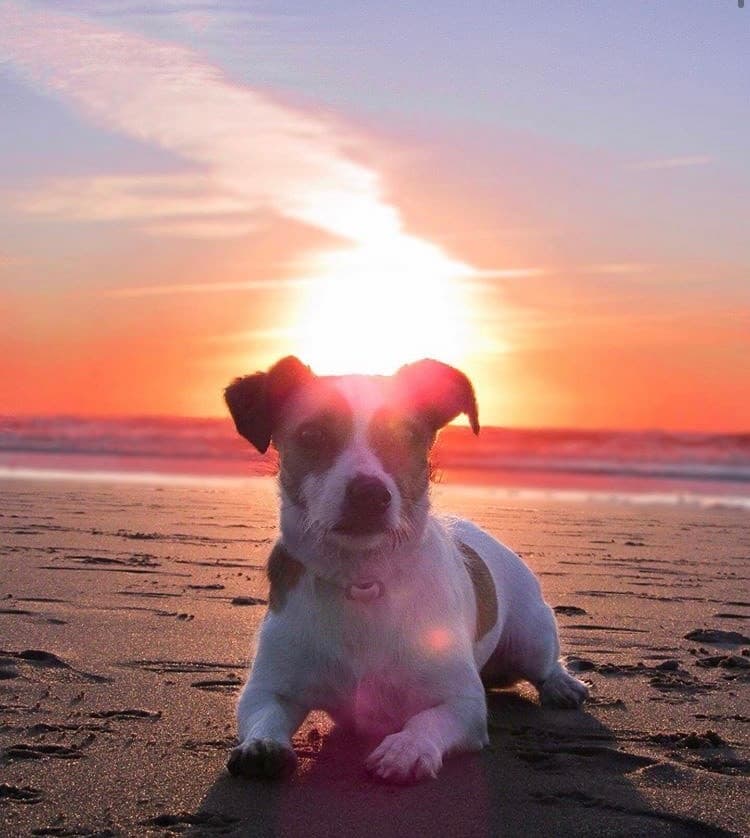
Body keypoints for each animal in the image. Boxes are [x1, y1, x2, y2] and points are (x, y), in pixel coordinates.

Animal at [223, 358, 588, 784]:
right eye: (311, 434)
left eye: (407, 435)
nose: (369, 494)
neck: (362, 577)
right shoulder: (266, 689)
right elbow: (264, 713)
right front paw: (261, 744)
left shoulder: (463, 704)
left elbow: (427, 721)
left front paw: (407, 748)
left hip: (530, 638)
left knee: (546, 663)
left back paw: (562, 684)